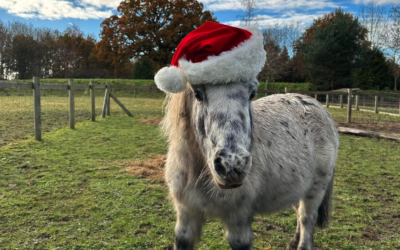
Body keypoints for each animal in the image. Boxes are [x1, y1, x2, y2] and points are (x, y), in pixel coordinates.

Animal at [155, 22, 340, 250]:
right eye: (198, 94)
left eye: (252, 93)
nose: (232, 166)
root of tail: (317, 106)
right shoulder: (186, 217)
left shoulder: (239, 222)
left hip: (315, 190)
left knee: (307, 220)